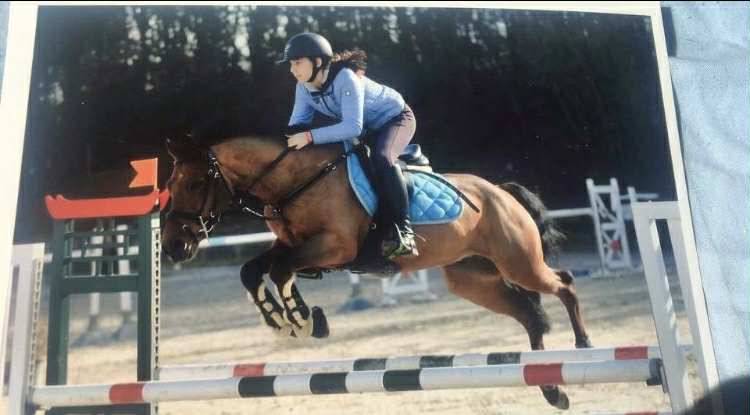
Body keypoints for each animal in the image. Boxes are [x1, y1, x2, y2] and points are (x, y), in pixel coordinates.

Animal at [161, 134, 592, 410]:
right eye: (169, 184)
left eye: (196, 183)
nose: (172, 246)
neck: (296, 183)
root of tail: (501, 192)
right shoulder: (294, 247)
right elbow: (253, 271)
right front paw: (283, 321)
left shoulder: (335, 247)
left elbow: (282, 271)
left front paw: (303, 320)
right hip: (473, 279)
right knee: (529, 315)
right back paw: (552, 389)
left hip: (520, 263)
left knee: (564, 284)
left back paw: (583, 345)